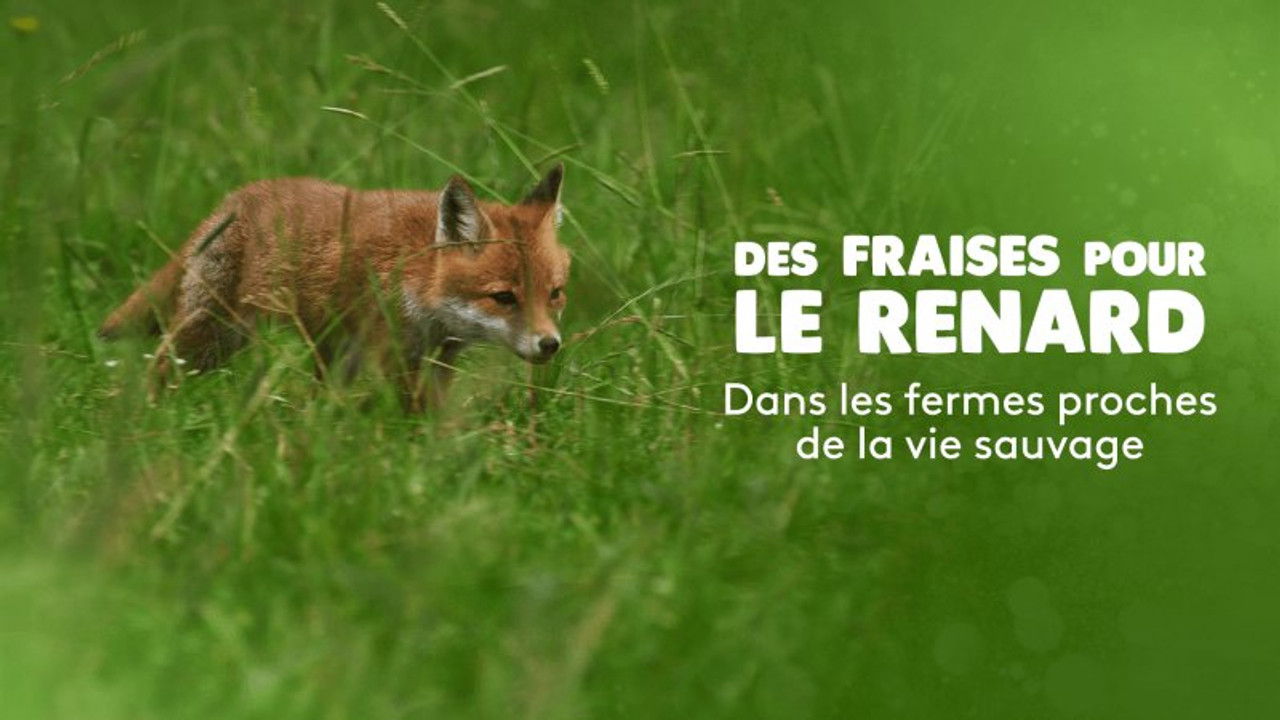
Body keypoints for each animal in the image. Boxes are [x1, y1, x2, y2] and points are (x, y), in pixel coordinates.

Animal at [98, 164, 570, 412]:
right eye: (504, 297)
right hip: (211, 336)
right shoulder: (394, 352)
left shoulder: (440, 357)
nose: (550, 344)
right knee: (158, 367)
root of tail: (236, 198)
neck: (417, 276)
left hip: (332, 352)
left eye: (555, 293)